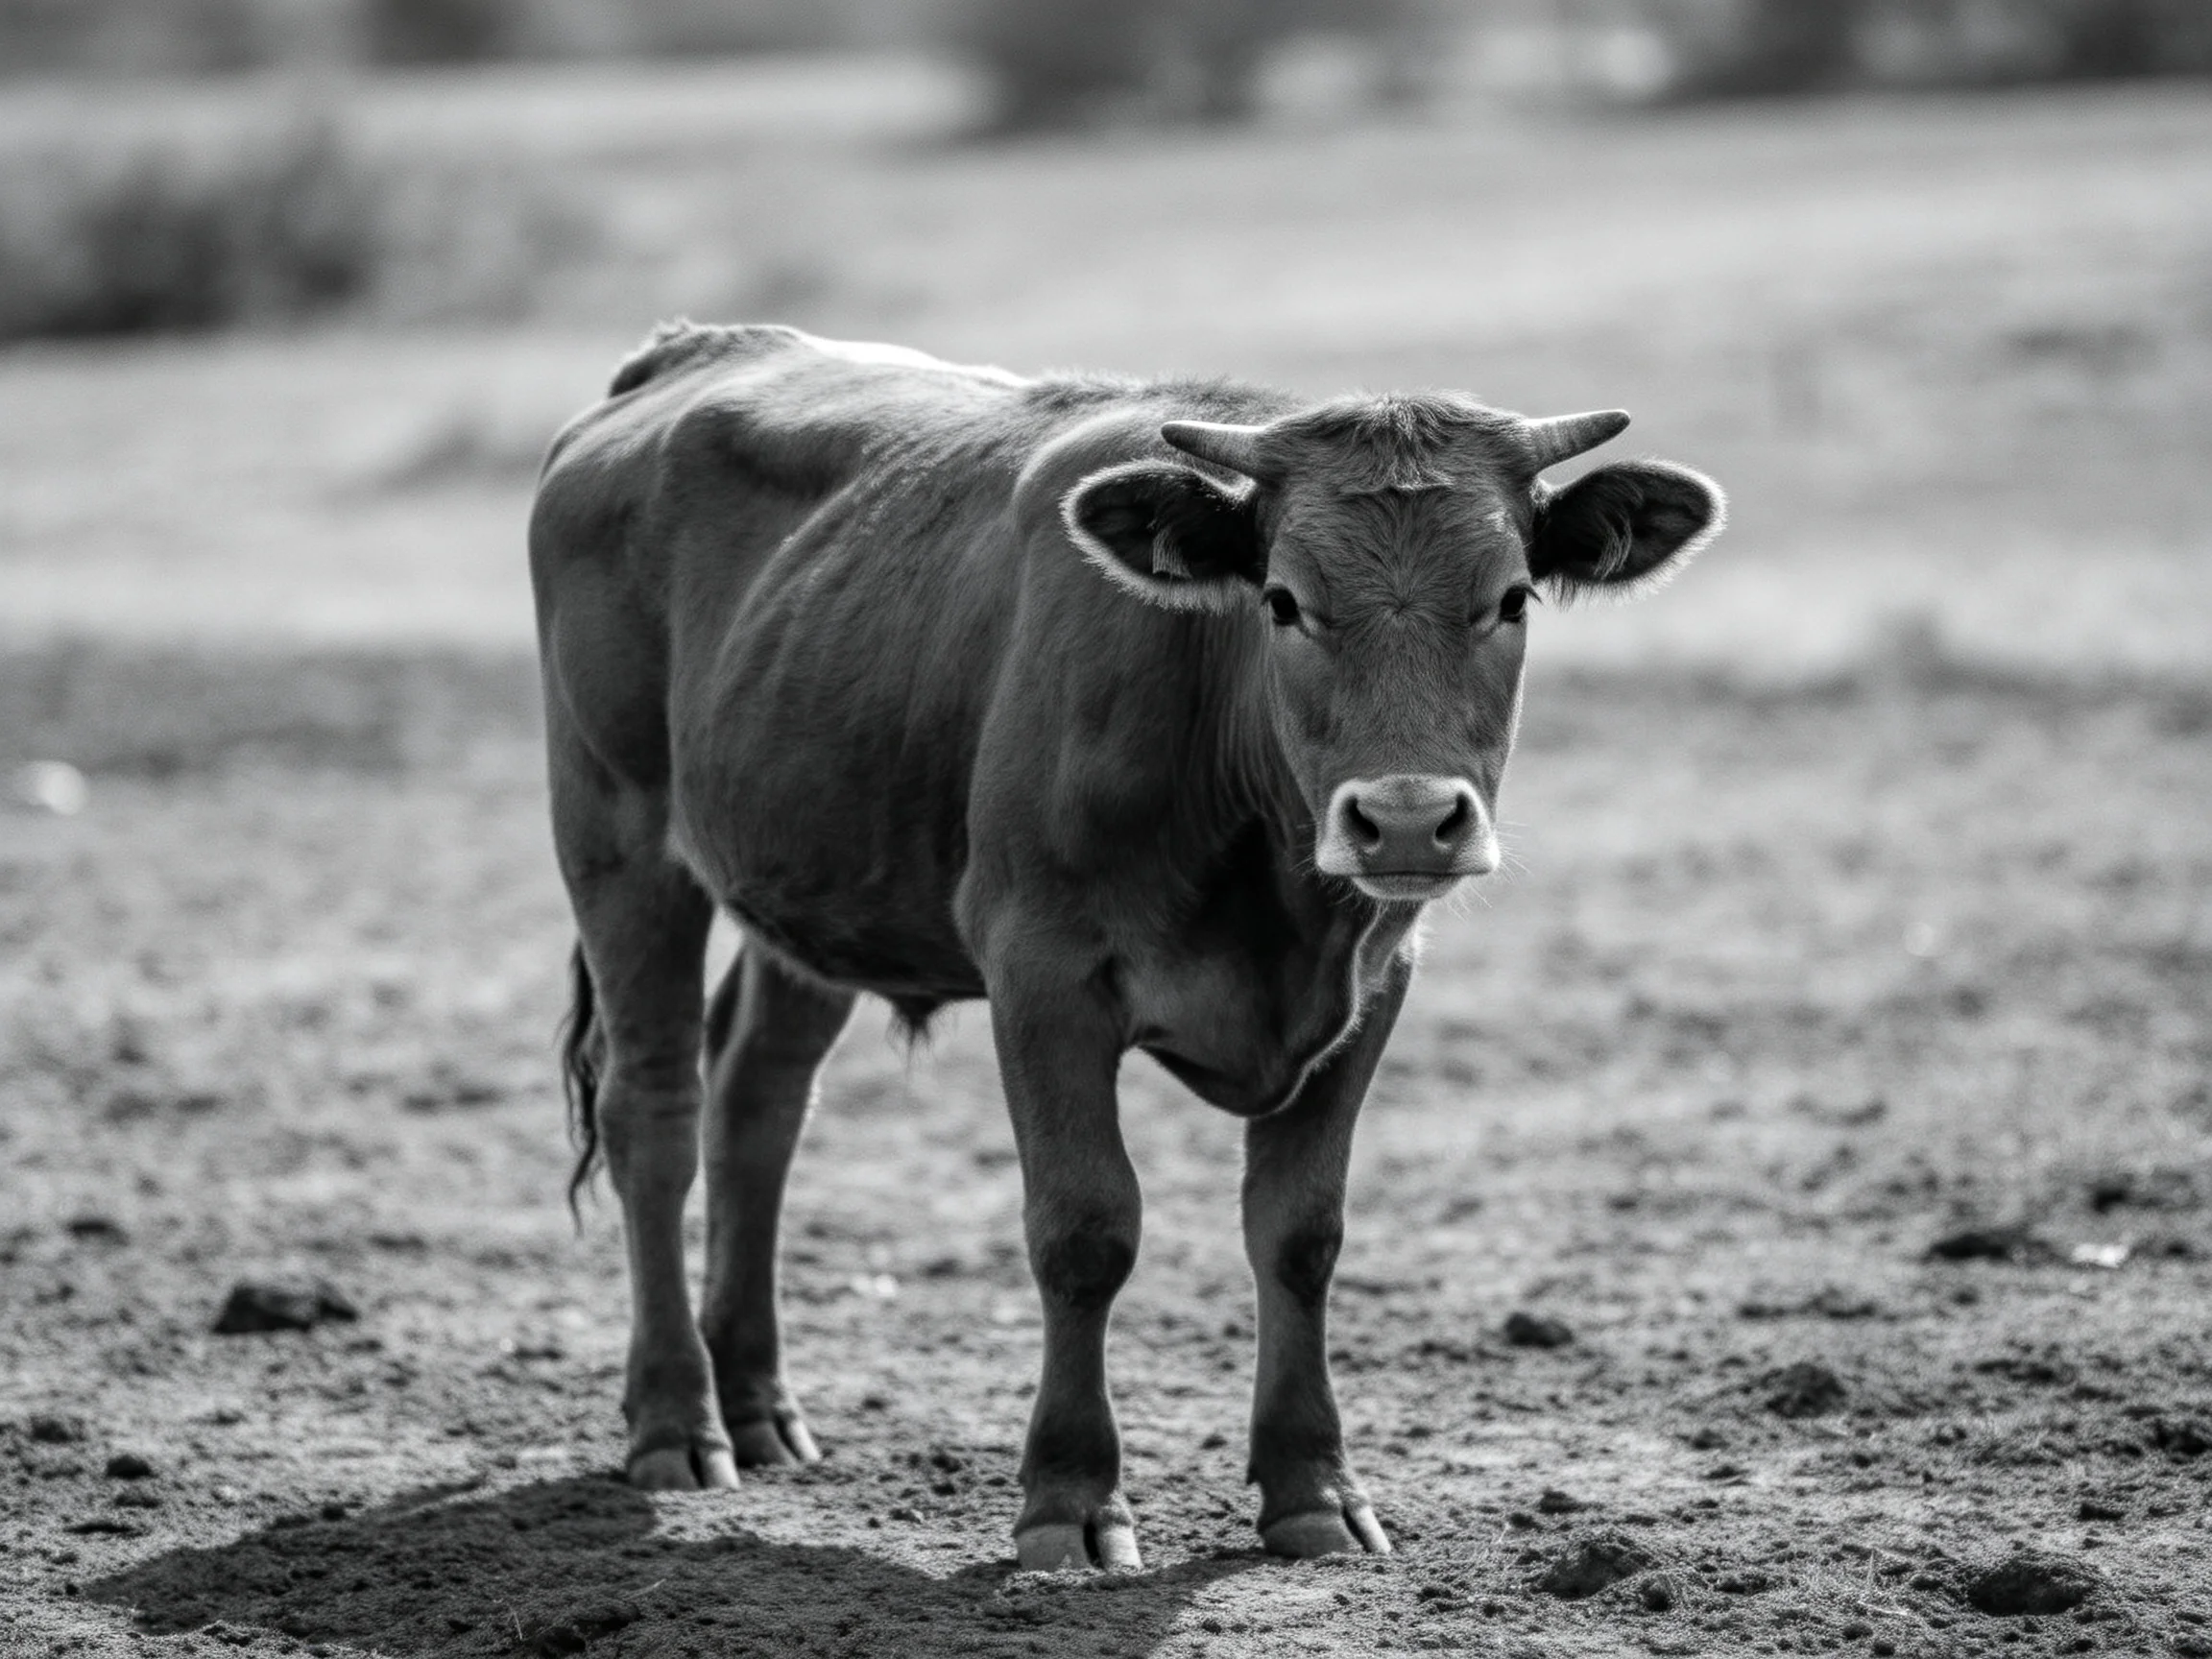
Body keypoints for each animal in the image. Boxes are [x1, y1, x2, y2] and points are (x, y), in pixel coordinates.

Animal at [529, 322, 1723, 1570]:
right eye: (1284, 601)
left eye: (1512, 599)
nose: (1403, 819)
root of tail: (693, 353)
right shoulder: (1040, 974)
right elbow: (1084, 1229)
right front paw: (1070, 1498)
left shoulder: (1373, 983)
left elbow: (1302, 1232)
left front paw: (1313, 1487)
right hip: (619, 840)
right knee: (653, 1112)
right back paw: (679, 1421)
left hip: (813, 883)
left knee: (756, 1101)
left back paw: (760, 1407)